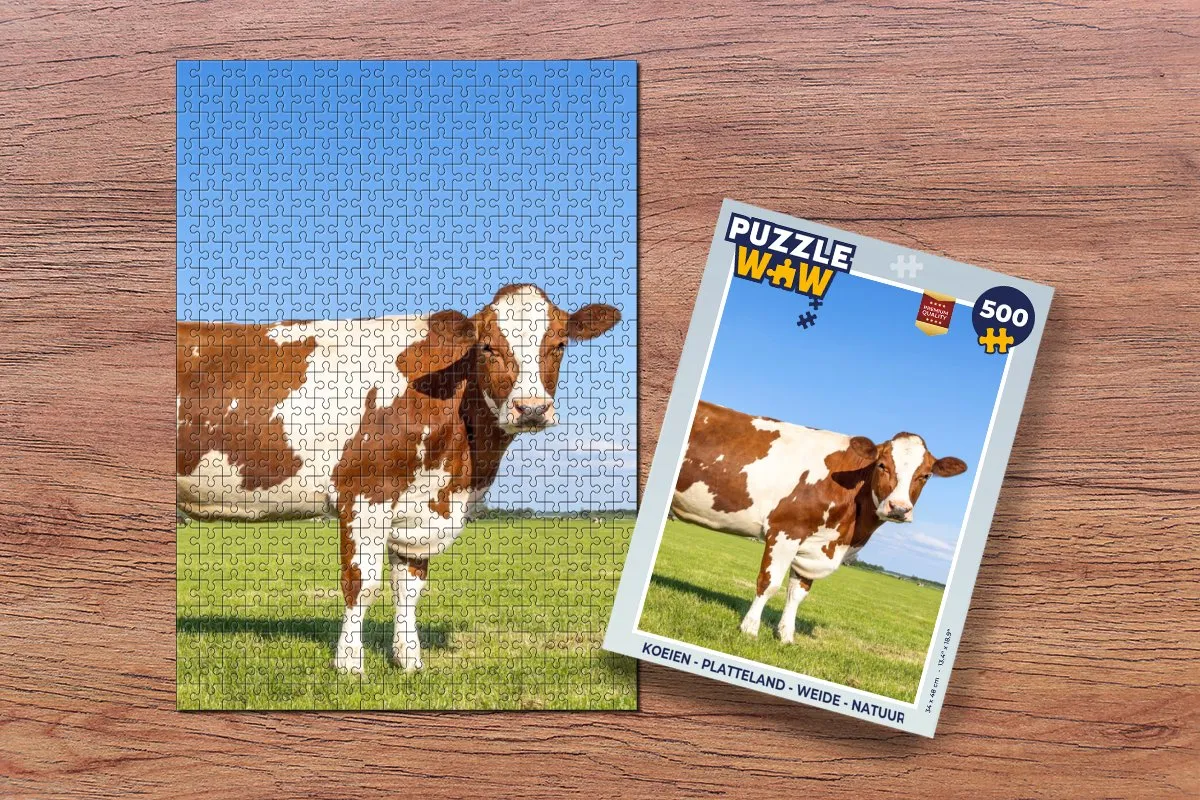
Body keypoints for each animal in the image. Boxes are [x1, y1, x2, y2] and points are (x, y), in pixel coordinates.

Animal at [177, 284, 621, 675]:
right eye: (487, 347)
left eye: (559, 345)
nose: (531, 408)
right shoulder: (365, 495)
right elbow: (362, 583)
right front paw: (349, 665)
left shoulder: (419, 508)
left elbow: (408, 589)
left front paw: (408, 661)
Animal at [671, 400, 966, 644]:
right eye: (882, 465)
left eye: (925, 475)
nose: (899, 508)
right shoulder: (786, 530)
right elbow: (769, 583)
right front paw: (750, 630)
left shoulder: (816, 543)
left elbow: (797, 593)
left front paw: (786, 637)